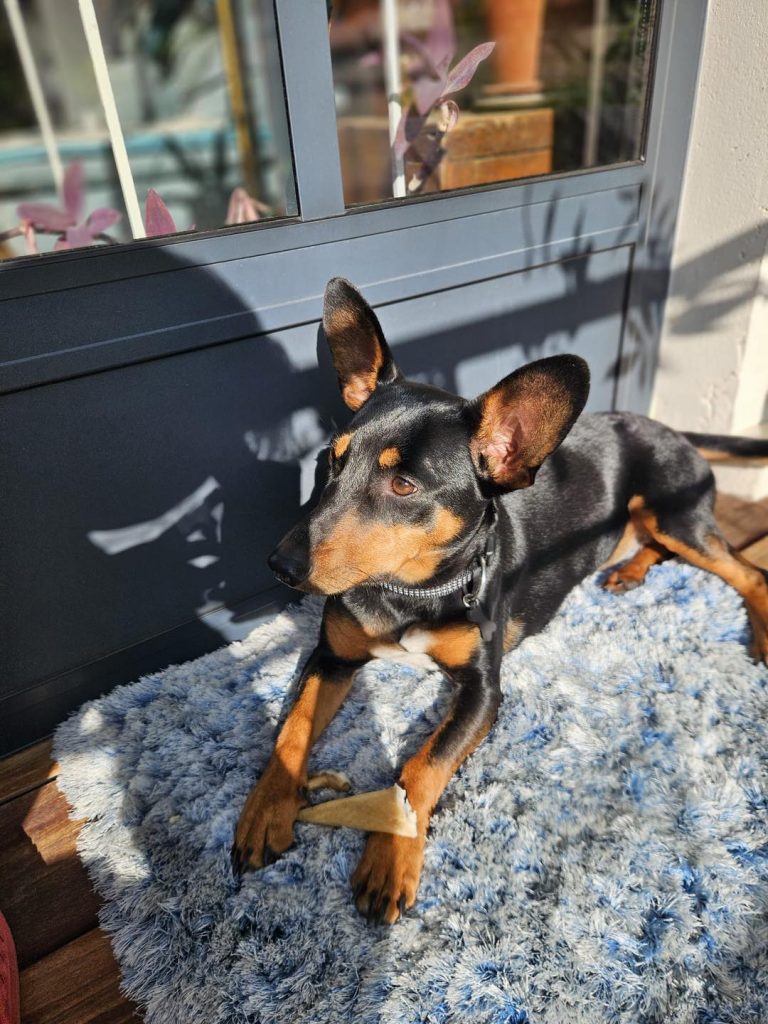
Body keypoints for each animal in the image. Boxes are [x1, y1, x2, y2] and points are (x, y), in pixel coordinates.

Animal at [232, 277, 768, 924]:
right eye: (329, 461)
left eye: (403, 485)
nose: (279, 565)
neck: (408, 591)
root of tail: (673, 430)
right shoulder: (331, 657)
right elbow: (292, 730)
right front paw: (266, 811)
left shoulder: (483, 692)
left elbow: (421, 767)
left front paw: (391, 855)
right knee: (663, 551)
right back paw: (629, 572)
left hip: (677, 513)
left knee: (748, 572)